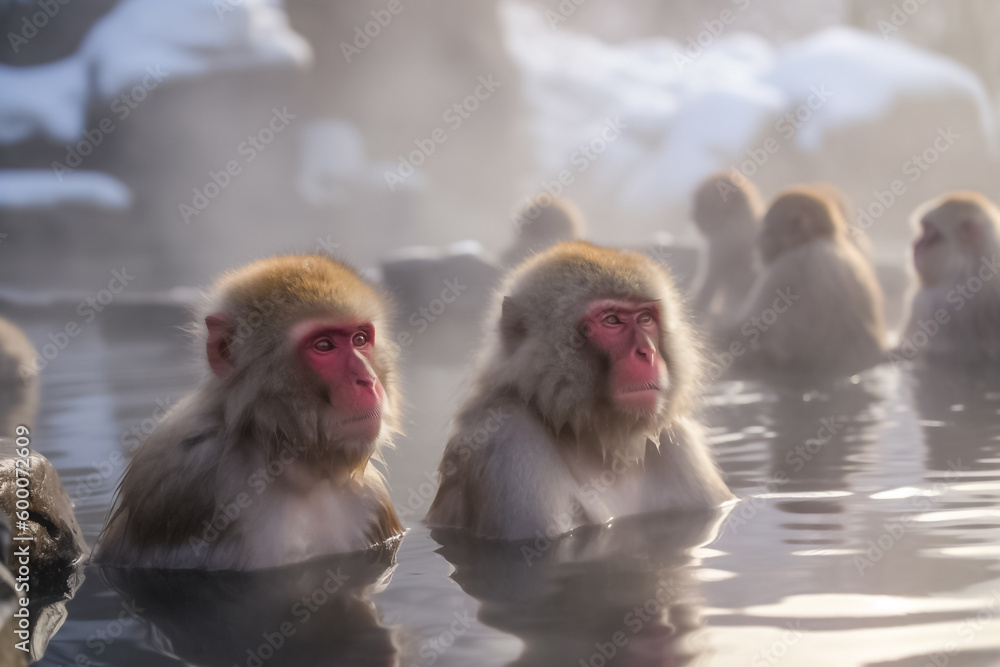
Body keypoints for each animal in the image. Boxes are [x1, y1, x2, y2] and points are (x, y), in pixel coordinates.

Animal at [94, 255, 404, 570]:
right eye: (324, 345)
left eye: (360, 339)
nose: (367, 380)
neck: (293, 469)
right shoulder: (186, 477)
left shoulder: (372, 496)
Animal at [426, 242, 734, 540]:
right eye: (612, 320)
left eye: (646, 318)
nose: (648, 352)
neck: (595, 438)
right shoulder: (507, 440)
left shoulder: (680, 441)